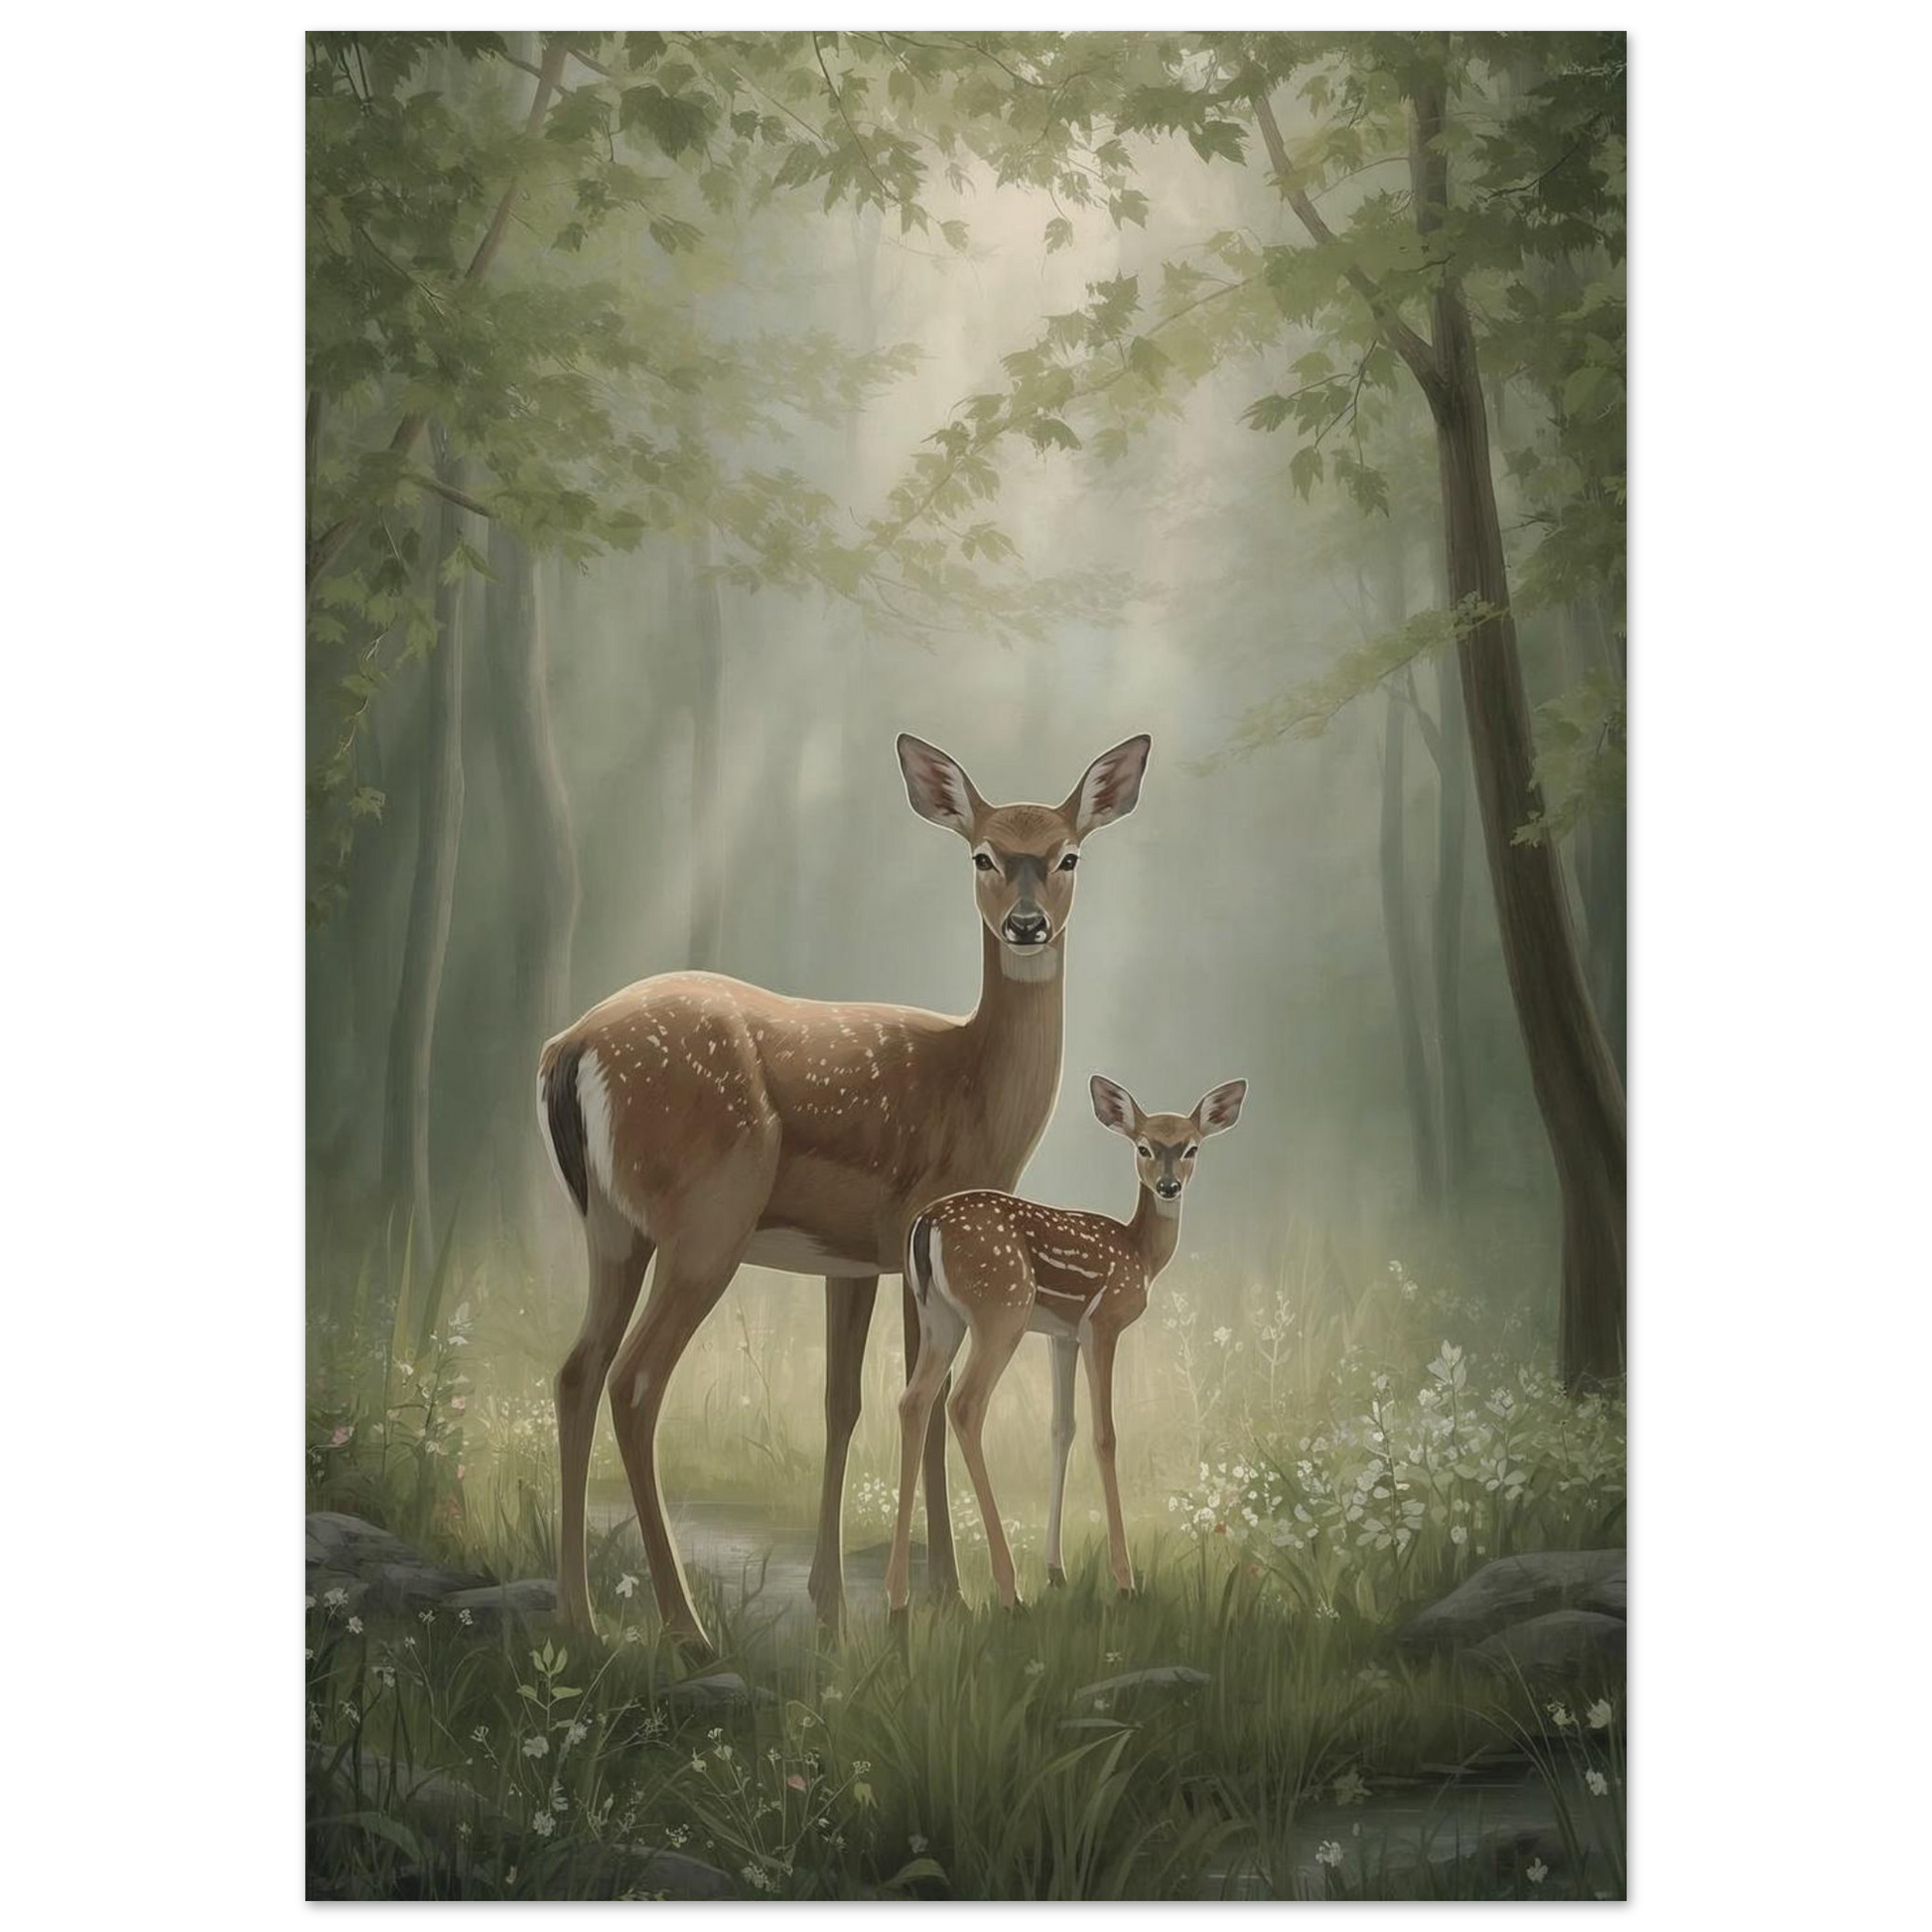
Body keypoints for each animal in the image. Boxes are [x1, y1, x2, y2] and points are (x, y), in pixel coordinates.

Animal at [535, 732, 1152, 1654]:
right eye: (981, 854)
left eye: (1068, 854)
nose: (1026, 924)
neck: (975, 1091)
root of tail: (567, 1049)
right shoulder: (918, 1225)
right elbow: (926, 1407)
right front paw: (947, 1596)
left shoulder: (852, 1258)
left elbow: (840, 1406)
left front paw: (833, 1609)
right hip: (707, 1220)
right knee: (636, 1383)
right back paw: (686, 1627)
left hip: (611, 1226)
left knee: (577, 1371)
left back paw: (579, 1617)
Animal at [886, 1073, 1248, 1620]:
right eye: (1143, 1147)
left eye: (1191, 1147)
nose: (1169, 1186)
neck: (1140, 1254)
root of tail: (924, 1224)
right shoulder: (1103, 1323)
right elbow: (1104, 1435)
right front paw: (1125, 1581)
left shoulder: (1063, 1334)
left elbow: (1062, 1428)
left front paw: (1056, 1571)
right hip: (1001, 1310)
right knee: (964, 1403)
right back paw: (1008, 1592)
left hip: (937, 1317)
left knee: (913, 1401)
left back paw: (899, 1599)